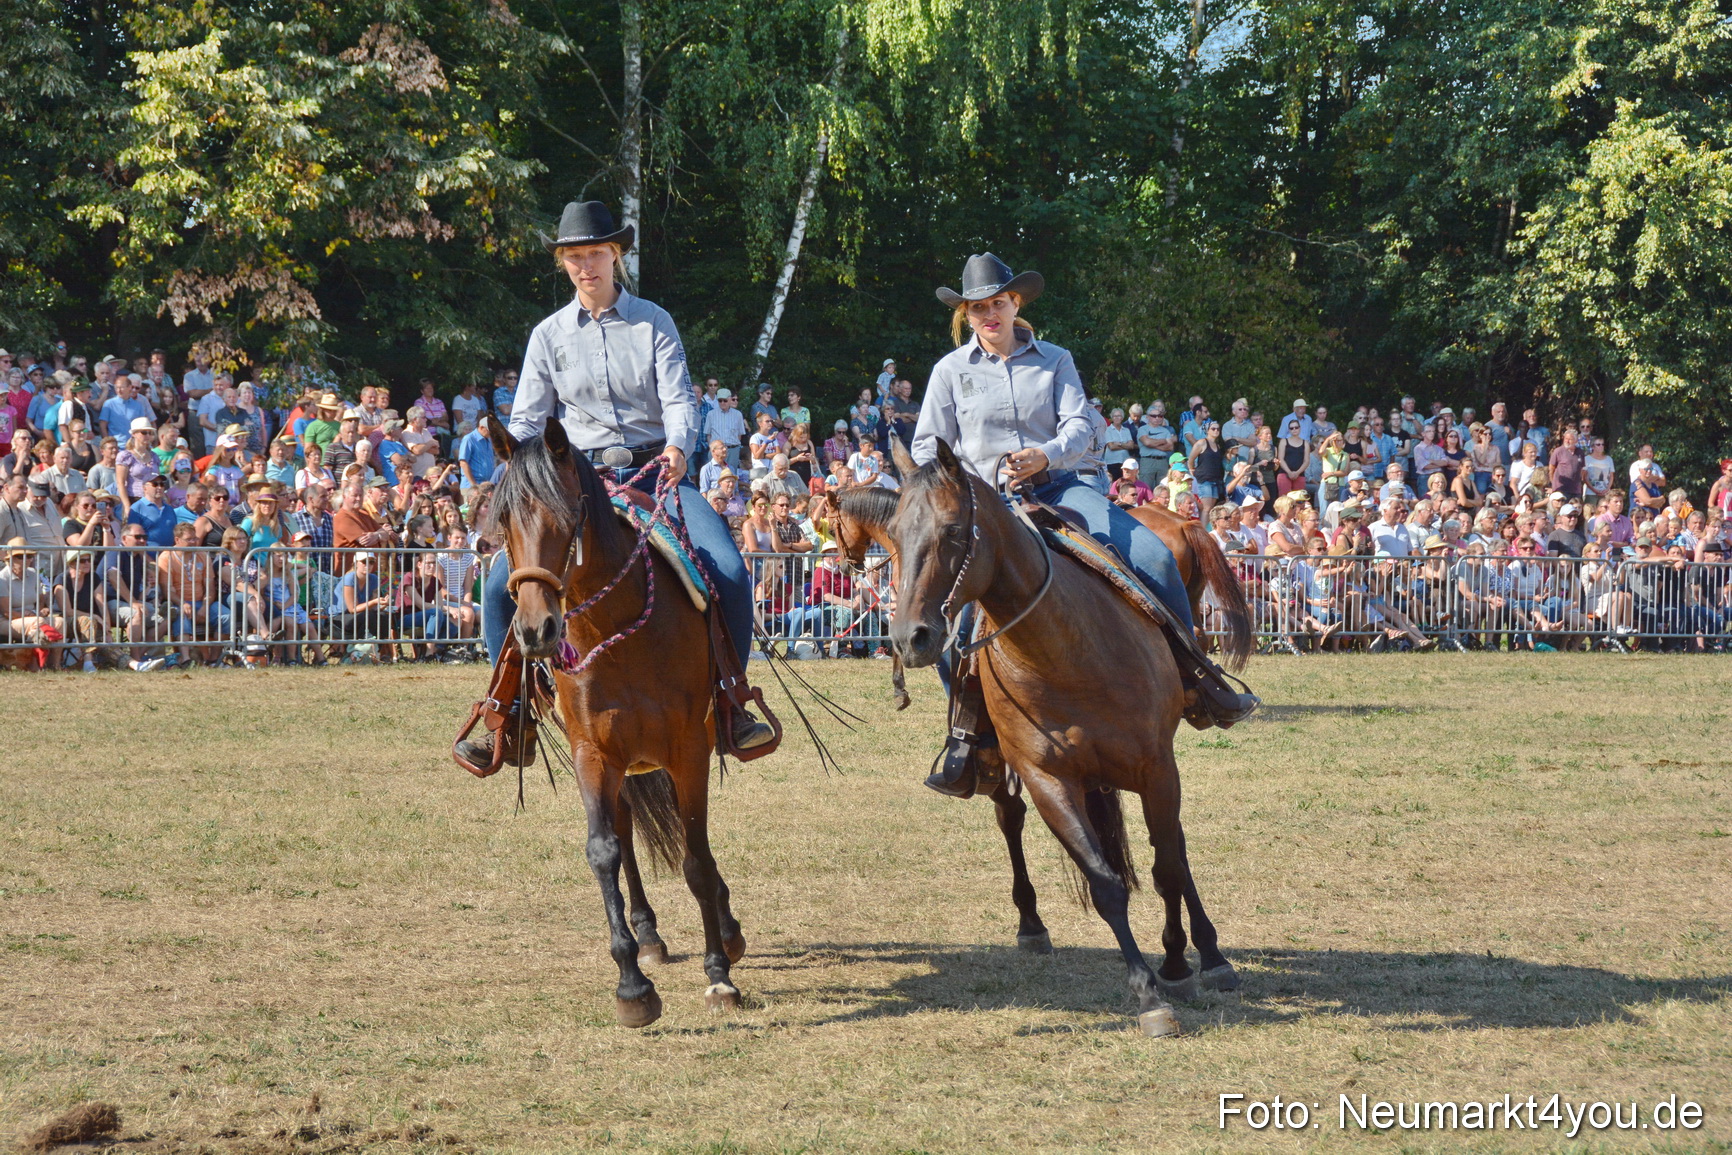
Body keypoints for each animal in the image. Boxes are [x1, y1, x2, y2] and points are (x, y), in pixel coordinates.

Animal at [485, 416, 745, 1028]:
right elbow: (603, 851)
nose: (535, 631)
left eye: (567, 517)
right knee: (625, 836)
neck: (617, 630)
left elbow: (697, 860)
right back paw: (648, 936)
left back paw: (725, 932)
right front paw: (632, 987)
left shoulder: (689, 749)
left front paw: (719, 974)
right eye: (503, 520)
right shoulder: (593, 753)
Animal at [885, 440, 1241, 1037]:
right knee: (1011, 819)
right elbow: (1106, 884)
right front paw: (1149, 993)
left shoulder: (1156, 767)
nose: (911, 637)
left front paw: (1178, 963)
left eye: (954, 530)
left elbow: (1168, 867)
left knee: (1173, 849)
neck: (1068, 651)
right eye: (891, 532)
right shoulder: (1048, 780)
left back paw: (1211, 956)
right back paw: (1031, 925)